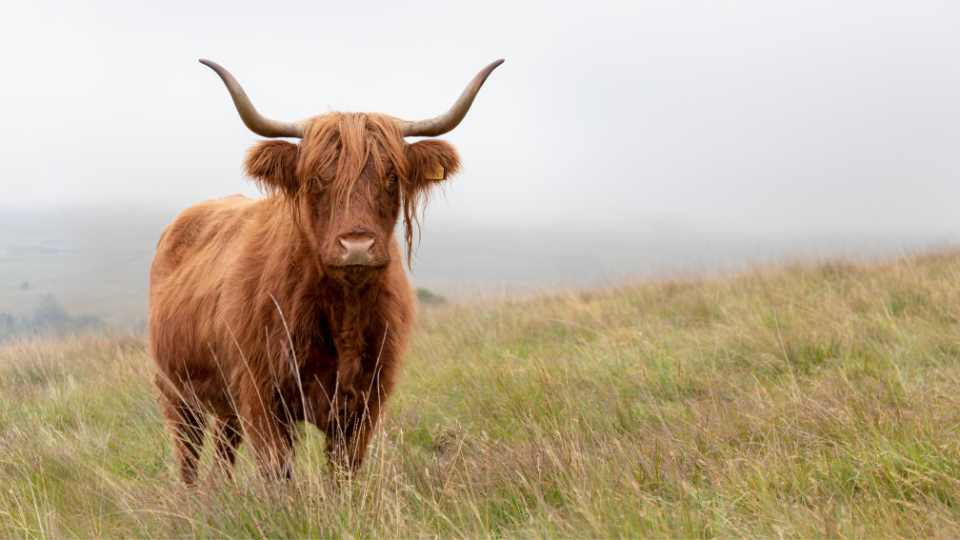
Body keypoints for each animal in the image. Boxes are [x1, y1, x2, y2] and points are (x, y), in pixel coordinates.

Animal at [149, 58, 503, 485]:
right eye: (317, 178)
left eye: (392, 176)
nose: (357, 245)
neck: (343, 311)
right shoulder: (260, 395)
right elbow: (278, 475)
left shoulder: (366, 401)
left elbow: (343, 474)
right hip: (176, 390)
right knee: (188, 457)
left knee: (222, 451)